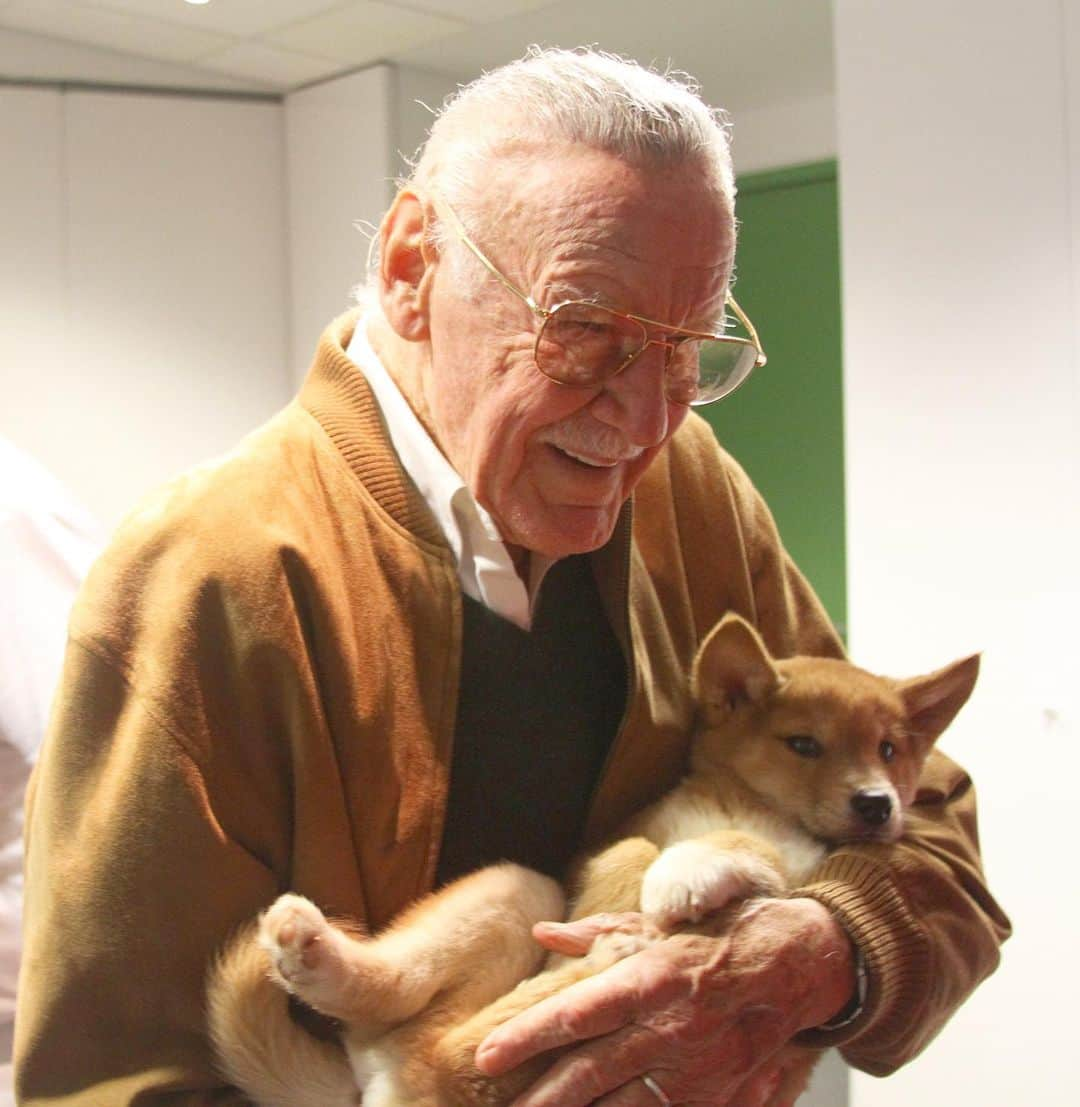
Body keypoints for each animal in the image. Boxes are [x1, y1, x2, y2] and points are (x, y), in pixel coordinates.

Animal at [209, 615, 978, 1107]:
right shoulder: (616, 843)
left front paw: (686, 875)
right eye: (805, 745)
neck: (748, 806)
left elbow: (747, 853)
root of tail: (382, 1085)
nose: (879, 805)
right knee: (422, 1015)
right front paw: (671, 877)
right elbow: (643, 851)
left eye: (889, 749)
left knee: (450, 1048)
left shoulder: (798, 874)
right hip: (519, 892)